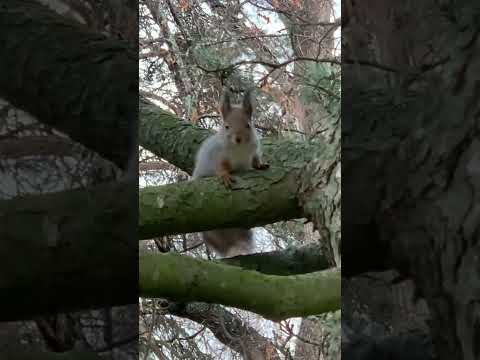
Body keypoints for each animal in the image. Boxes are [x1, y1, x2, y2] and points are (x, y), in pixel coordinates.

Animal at [193, 90, 272, 258]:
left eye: (248, 125)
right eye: (227, 126)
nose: (238, 138)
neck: (239, 149)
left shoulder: (253, 151)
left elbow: (255, 160)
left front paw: (260, 165)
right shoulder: (218, 155)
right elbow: (221, 167)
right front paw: (225, 176)